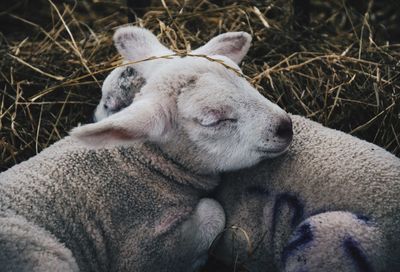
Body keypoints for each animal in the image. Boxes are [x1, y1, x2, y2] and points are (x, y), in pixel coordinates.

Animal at [0, 27, 294, 272]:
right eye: (212, 120)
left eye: (244, 79)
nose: (285, 126)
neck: (142, 162)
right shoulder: (141, 253)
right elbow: (214, 211)